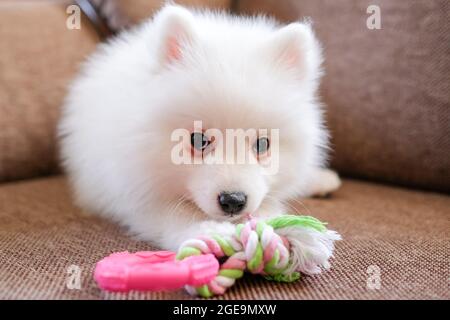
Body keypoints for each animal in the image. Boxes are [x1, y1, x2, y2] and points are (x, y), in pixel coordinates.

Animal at [60, 3, 342, 251]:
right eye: (198, 140)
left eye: (262, 144)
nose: (233, 201)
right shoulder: (137, 194)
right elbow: (174, 217)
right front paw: (210, 232)